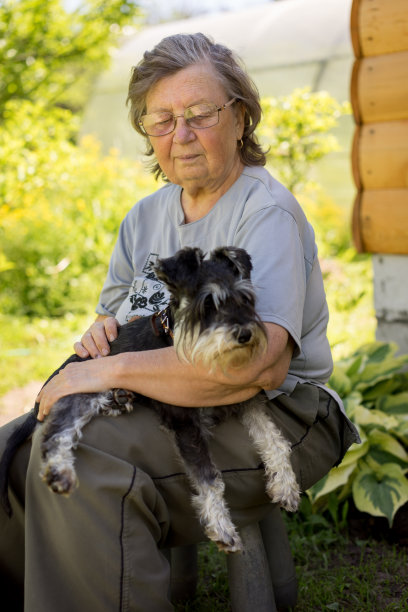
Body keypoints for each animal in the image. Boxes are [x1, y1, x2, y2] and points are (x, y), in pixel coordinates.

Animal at [0, 246, 300, 552]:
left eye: (245, 299)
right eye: (207, 304)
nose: (244, 334)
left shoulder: (247, 400)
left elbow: (274, 439)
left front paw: (286, 486)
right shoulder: (185, 423)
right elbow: (208, 478)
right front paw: (221, 527)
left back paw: (119, 400)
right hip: (81, 387)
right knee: (56, 431)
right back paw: (59, 471)